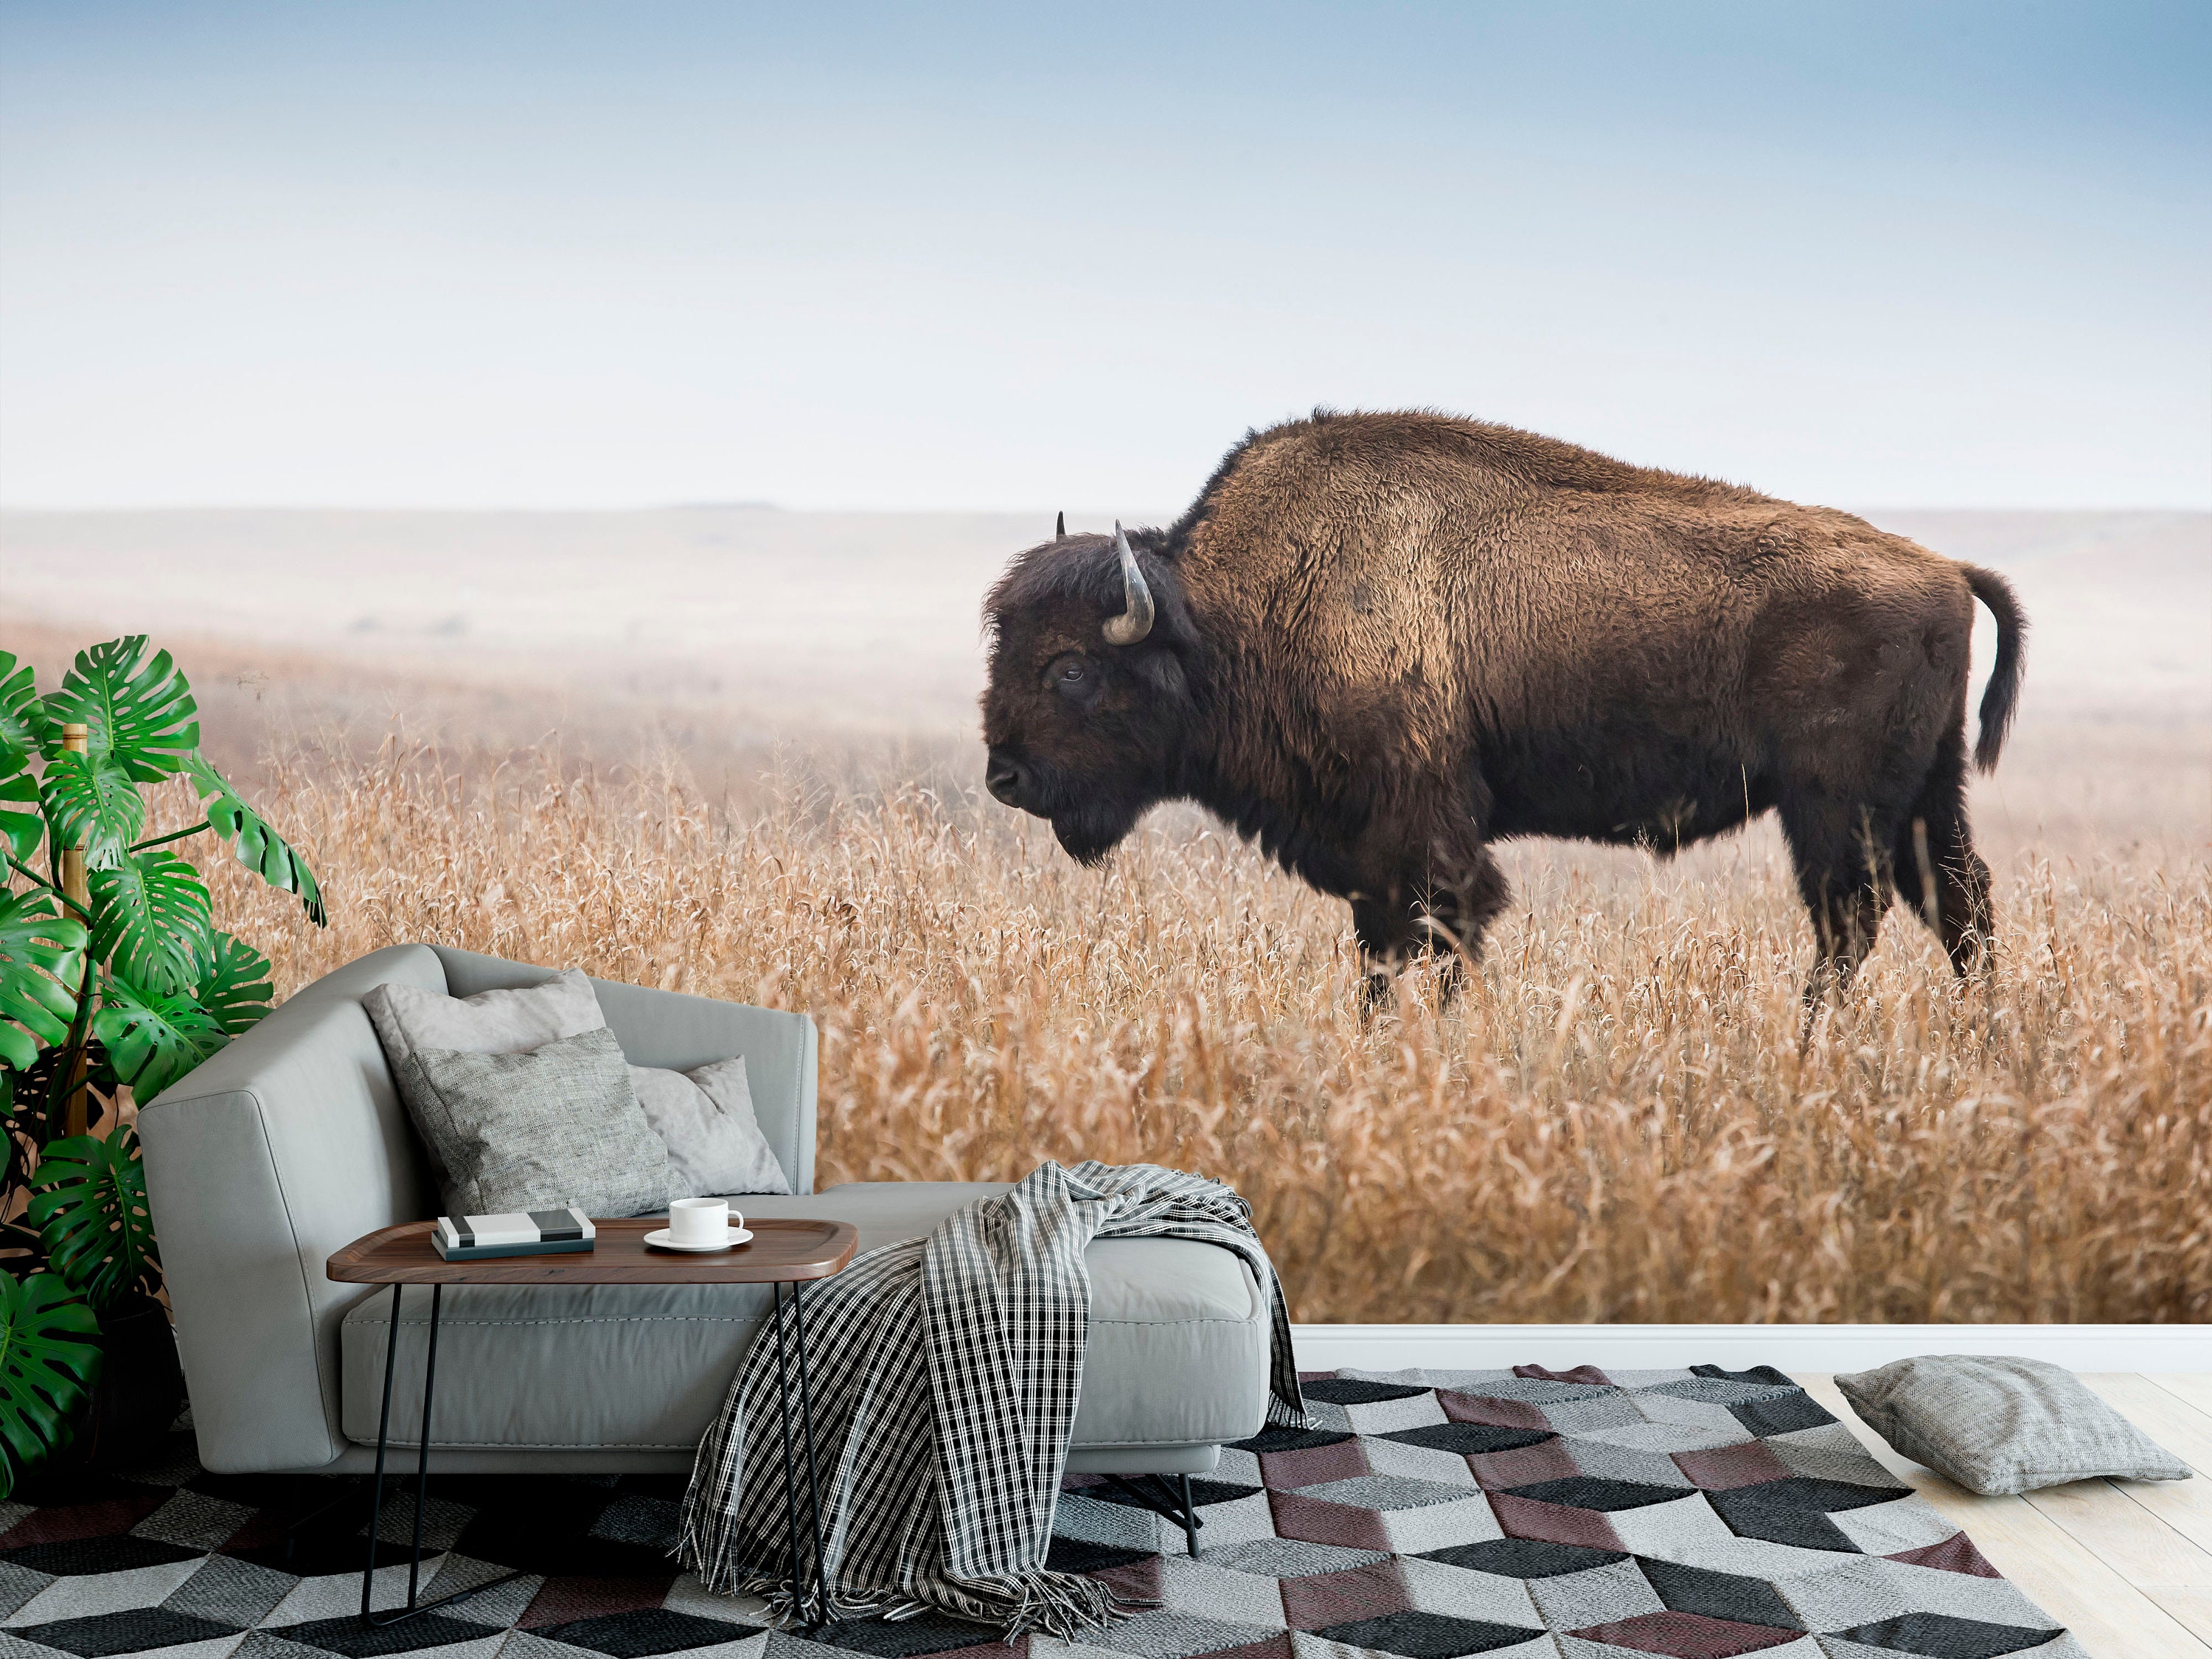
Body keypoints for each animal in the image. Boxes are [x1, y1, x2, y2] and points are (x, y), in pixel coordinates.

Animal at [981, 411, 2025, 1002]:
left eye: (1070, 668)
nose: (1004, 777)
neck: (1229, 612)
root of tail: (1945, 568)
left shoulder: (1425, 838)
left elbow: (1440, 939)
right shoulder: (1373, 859)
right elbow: (1382, 957)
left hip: (1834, 807)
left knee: (1852, 921)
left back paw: (1813, 1044)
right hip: (1924, 799)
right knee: (1960, 908)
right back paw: (1982, 1043)